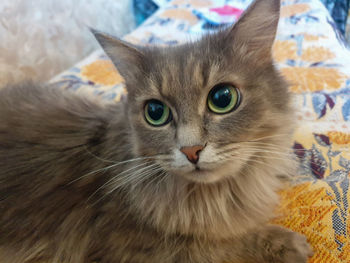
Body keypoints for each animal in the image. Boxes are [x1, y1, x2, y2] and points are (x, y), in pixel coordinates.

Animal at [0, 0, 314, 262]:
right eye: (155, 113)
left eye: (222, 98)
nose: (191, 150)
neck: (215, 197)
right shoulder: (137, 249)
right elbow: (219, 245)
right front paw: (288, 243)